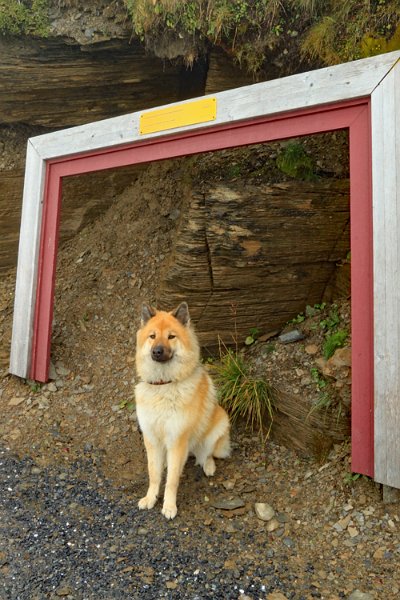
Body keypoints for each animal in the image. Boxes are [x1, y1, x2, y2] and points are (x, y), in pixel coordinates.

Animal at [134, 302, 230, 516]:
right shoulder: (152, 438)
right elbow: (154, 474)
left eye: (171, 336)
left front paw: (169, 506)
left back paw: (208, 465)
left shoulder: (177, 440)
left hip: (219, 424)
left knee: (207, 453)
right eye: (152, 336)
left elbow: (171, 480)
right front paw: (150, 498)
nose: (157, 351)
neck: (164, 384)